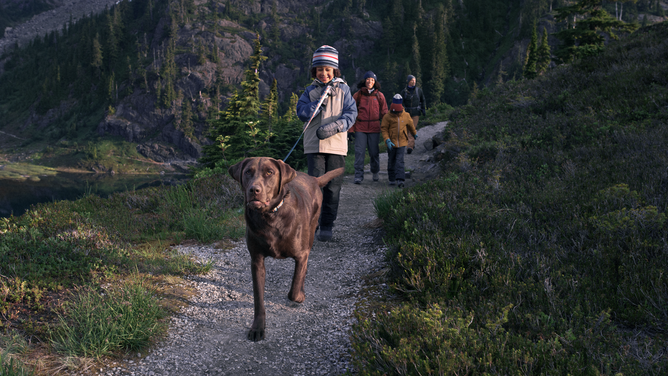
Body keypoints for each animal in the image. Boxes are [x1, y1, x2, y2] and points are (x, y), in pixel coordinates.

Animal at [230, 156, 344, 340]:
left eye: (269, 172)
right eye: (248, 172)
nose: (254, 190)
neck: (271, 216)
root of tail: (314, 179)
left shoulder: (301, 255)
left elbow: (294, 289)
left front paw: (300, 296)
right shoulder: (256, 261)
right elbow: (258, 299)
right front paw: (257, 328)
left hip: (311, 232)